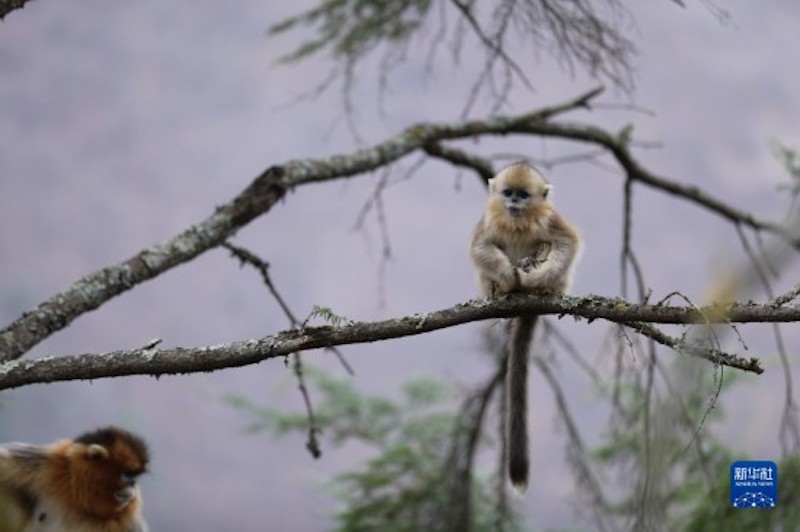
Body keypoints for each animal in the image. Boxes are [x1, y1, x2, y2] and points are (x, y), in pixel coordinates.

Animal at [468, 163, 580, 494]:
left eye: (523, 195)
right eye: (508, 193)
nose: (514, 202)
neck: (518, 222)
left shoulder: (551, 219)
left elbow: (567, 243)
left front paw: (534, 278)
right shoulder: (488, 220)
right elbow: (481, 247)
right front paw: (508, 276)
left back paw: (538, 286)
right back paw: (504, 289)